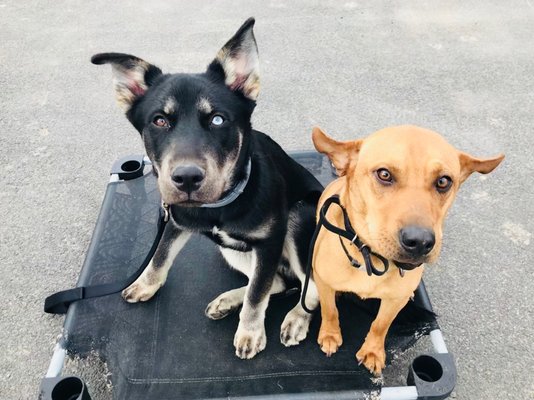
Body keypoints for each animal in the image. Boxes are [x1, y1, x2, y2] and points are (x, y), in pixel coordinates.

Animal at [93, 19, 322, 360]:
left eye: (217, 119)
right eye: (159, 121)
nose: (186, 178)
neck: (221, 203)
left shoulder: (269, 242)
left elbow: (258, 295)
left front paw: (250, 332)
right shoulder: (176, 220)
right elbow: (161, 254)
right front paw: (147, 284)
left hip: (299, 219)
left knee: (313, 288)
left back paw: (296, 318)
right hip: (231, 250)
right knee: (279, 282)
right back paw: (228, 300)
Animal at [312, 125, 504, 376]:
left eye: (444, 181)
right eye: (384, 174)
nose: (420, 242)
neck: (372, 258)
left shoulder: (395, 300)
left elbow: (380, 325)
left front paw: (373, 351)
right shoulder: (323, 283)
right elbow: (330, 311)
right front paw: (330, 335)